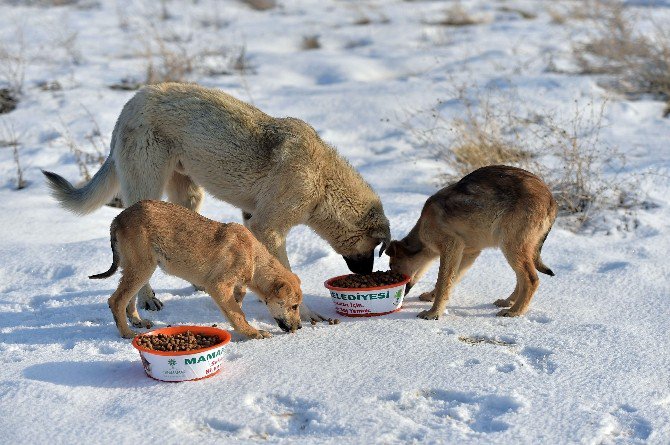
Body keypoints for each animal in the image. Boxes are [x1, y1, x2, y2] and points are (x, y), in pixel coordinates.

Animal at [44, 81, 392, 320]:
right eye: (375, 248)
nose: (366, 278)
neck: (322, 182)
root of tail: (131, 102)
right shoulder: (268, 226)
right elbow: (286, 272)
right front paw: (303, 313)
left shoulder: (251, 217)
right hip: (148, 191)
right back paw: (147, 299)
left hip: (188, 196)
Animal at [88, 199, 302, 338]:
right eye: (294, 306)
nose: (300, 327)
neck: (253, 257)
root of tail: (118, 218)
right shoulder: (217, 285)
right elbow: (237, 313)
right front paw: (253, 333)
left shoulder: (234, 287)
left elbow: (236, 306)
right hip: (142, 267)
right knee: (116, 300)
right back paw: (127, 333)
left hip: (136, 268)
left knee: (128, 300)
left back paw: (137, 321)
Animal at [386, 165, 560, 318]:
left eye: (392, 266)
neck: (423, 230)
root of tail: (552, 200)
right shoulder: (468, 253)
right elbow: (449, 281)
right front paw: (431, 297)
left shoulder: (451, 247)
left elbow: (443, 282)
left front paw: (434, 313)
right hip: (516, 250)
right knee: (521, 279)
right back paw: (508, 303)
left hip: (511, 248)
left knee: (531, 279)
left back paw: (515, 312)